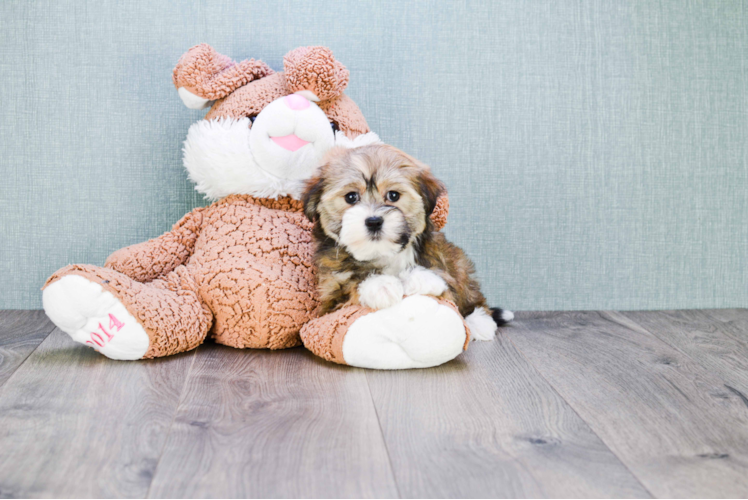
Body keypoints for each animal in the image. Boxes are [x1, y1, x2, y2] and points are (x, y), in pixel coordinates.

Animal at [300, 143, 512, 342]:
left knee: (471, 293)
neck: (382, 254)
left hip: (460, 264)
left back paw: (480, 322)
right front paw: (381, 285)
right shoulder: (330, 298)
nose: (374, 221)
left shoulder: (442, 263)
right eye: (351, 197)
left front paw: (422, 278)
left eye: (393, 195)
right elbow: (351, 281)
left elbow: (442, 279)